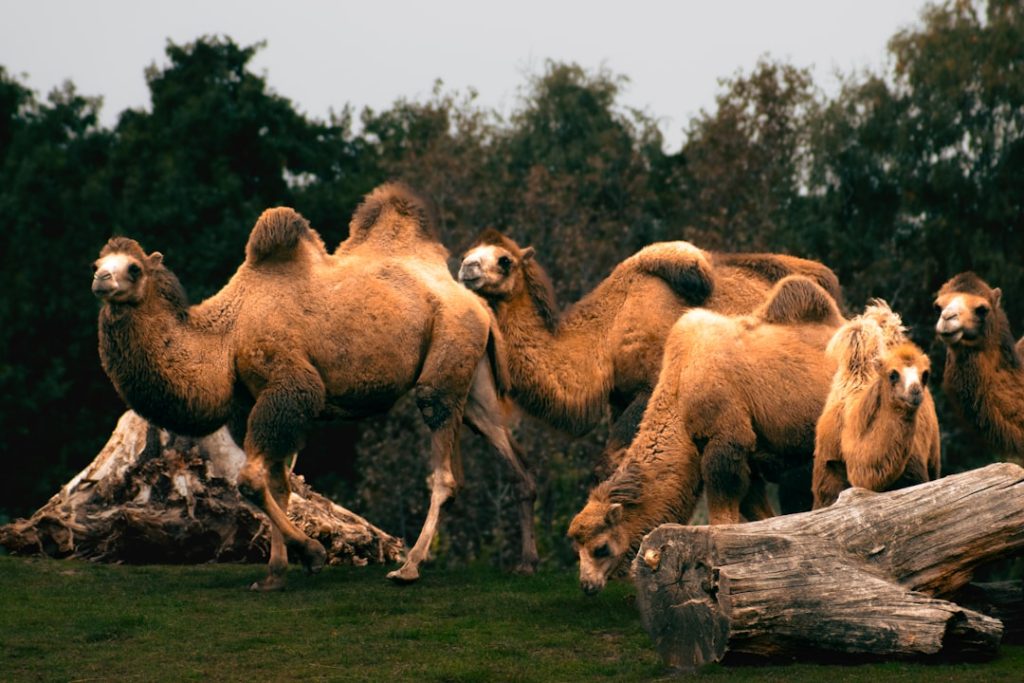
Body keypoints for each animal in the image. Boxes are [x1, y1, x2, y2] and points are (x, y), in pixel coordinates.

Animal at [92, 183, 538, 589]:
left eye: (133, 268)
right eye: (98, 262)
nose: (100, 280)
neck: (227, 331)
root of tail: (476, 303)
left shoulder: (289, 387)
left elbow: (251, 481)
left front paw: (312, 553)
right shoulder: (252, 402)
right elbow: (278, 484)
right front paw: (275, 573)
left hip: (447, 354)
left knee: (443, 467)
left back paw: (409, 567)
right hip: (472, 374)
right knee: (513, 455)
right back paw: (526, 562)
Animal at [457, 229, 842, 471]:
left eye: (505, 260)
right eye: (466, 254)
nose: (466, 269)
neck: (607, 333)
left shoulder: (648, 386)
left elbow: (614, 460)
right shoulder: (619, 397)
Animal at [567, 276, 843, 595]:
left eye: (601, 547)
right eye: (577, 549)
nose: (587, 585)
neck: (680, 388)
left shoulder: (726, 440)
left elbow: (723, 511)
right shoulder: (748, 457)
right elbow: (758, 512)